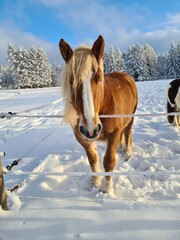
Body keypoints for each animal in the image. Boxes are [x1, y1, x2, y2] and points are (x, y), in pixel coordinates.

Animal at [59, 35, 138, 193]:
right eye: (71, 81)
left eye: (99, 78)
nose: (91, 128)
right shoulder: (83, 137)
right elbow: (93, 159)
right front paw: (95, 183)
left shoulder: (114, 133)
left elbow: (108, 161)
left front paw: (107, 189)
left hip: (130, 117)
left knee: (127, 133)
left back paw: (127, 152)